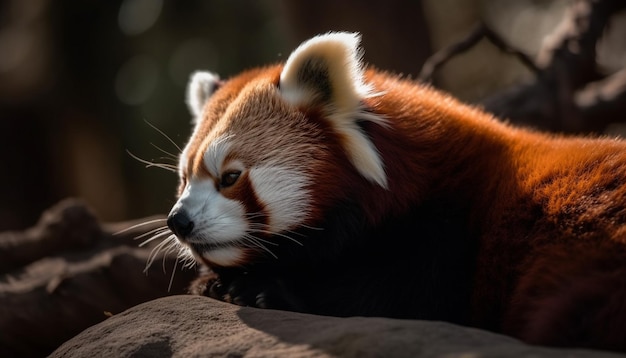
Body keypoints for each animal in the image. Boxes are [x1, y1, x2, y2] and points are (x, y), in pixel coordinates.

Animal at [165, 32, 624, 352]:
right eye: (184, 179)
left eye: (229, 177)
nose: (177, 221)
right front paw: (214, 282)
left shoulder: (442, 237)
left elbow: (390, 299)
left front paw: (262, 289)